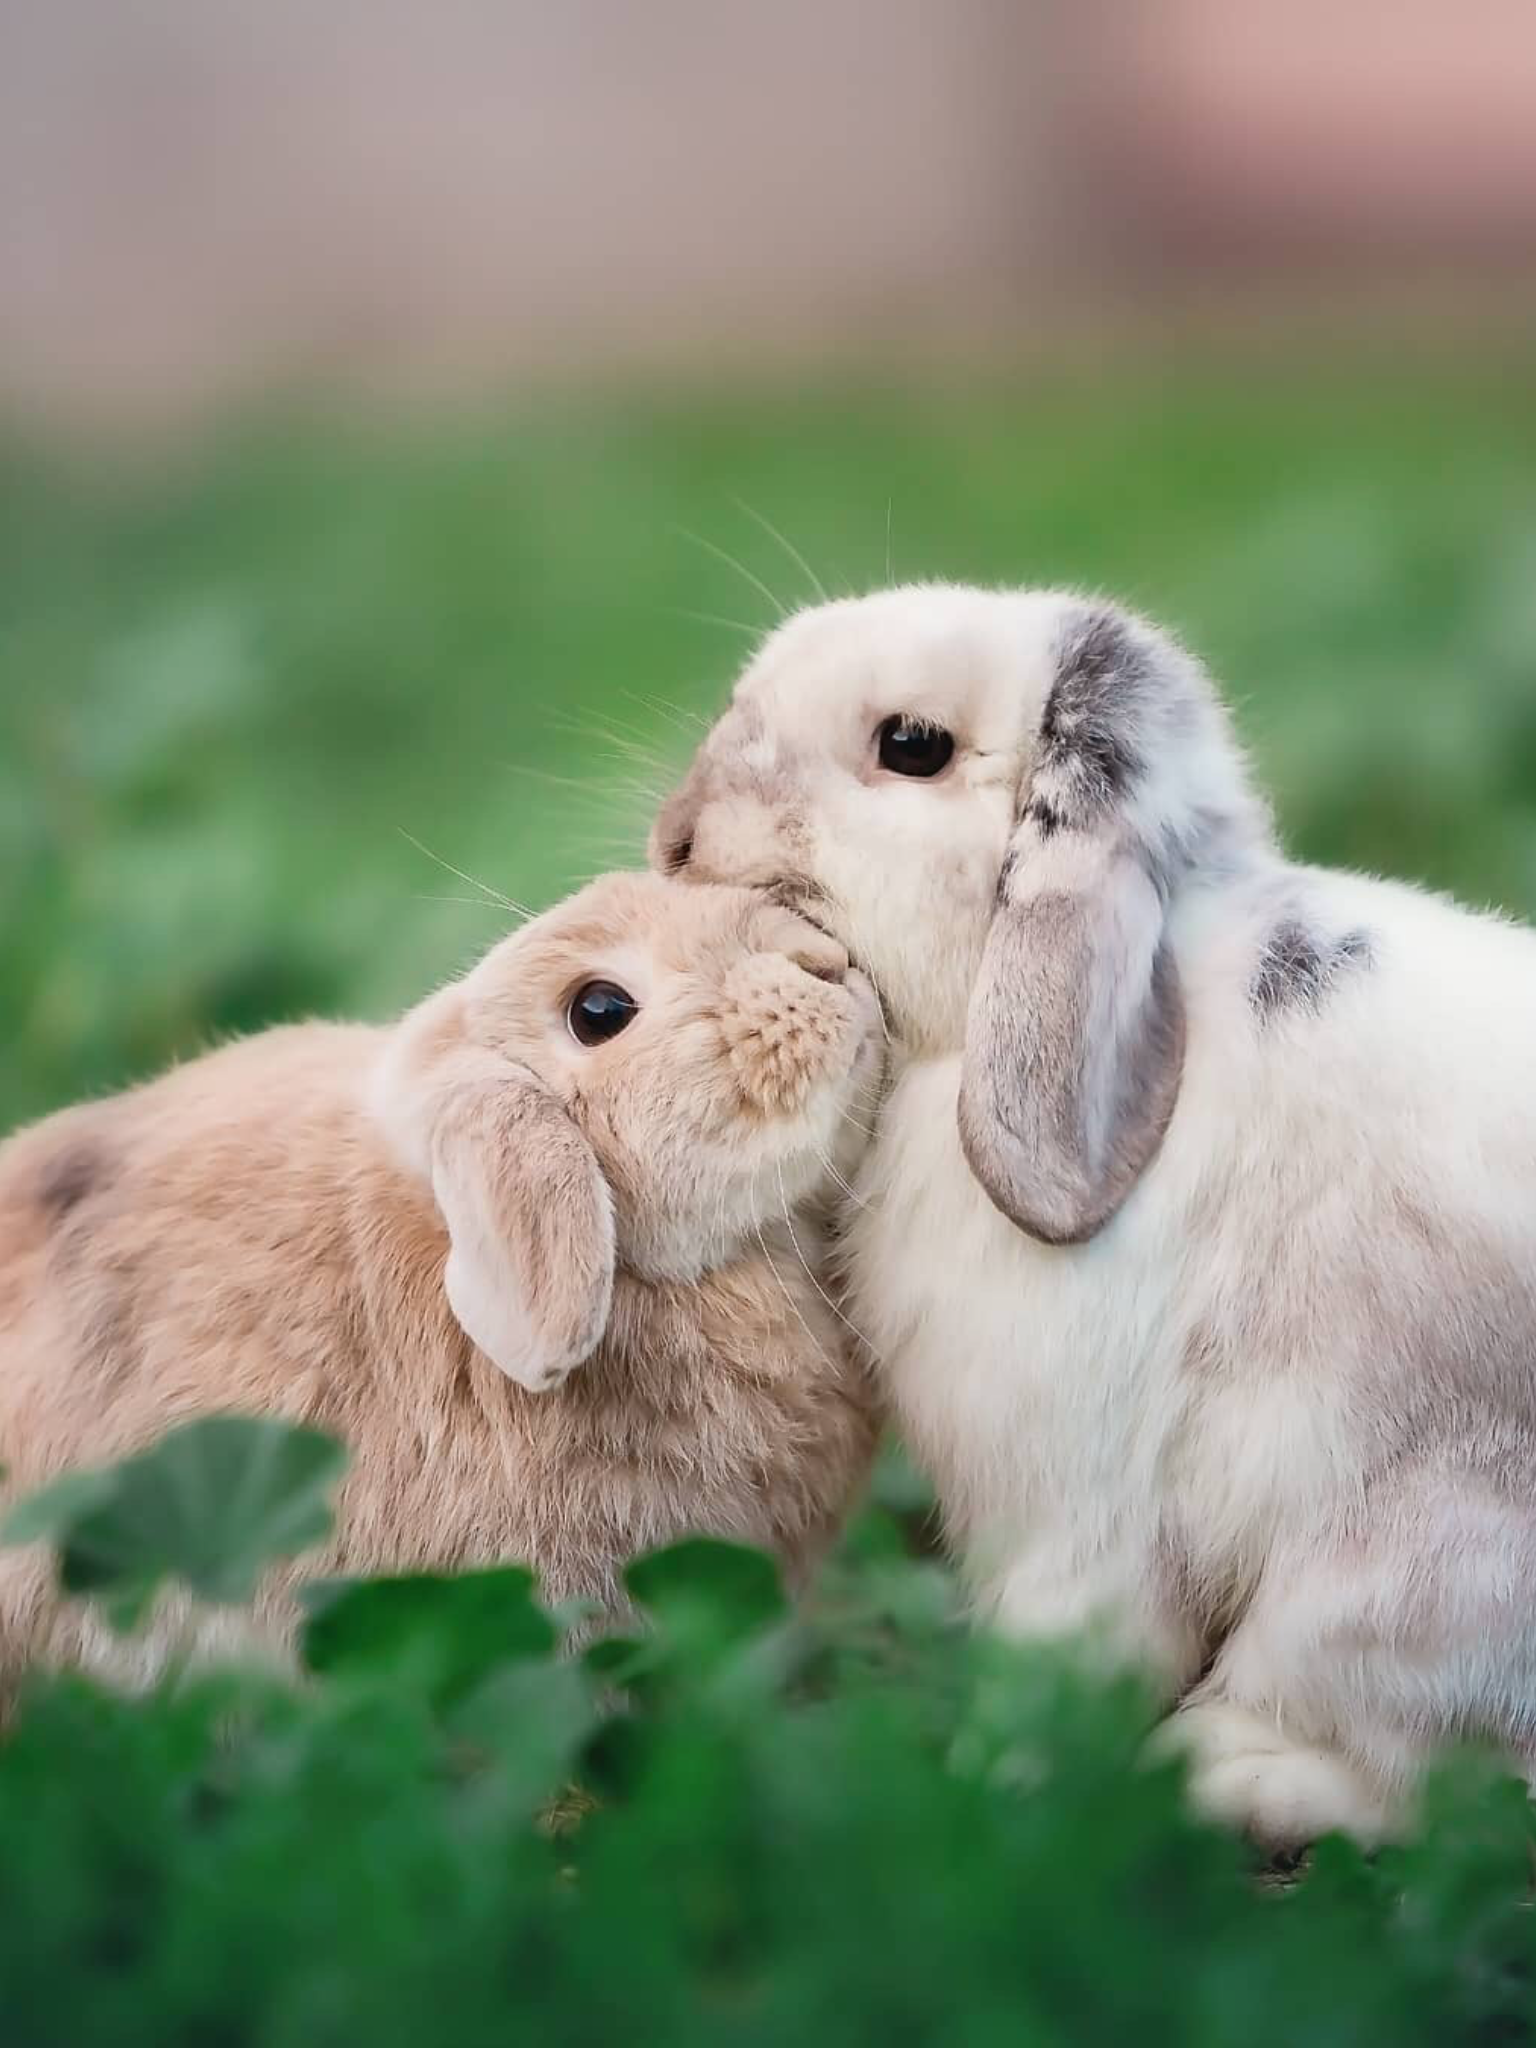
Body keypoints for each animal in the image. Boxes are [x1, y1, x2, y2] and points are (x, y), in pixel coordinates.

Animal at [659, 585, 1536, 1851]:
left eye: (910, 744)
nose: (675, 840)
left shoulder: (1079, 1510)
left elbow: (1069, 1657)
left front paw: (987, 1787)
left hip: (1399, 1575)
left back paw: (1228, 1775)